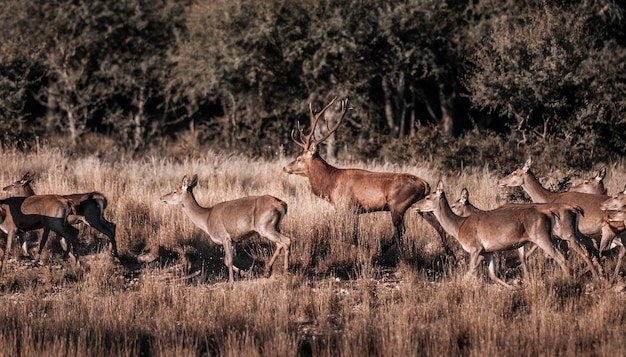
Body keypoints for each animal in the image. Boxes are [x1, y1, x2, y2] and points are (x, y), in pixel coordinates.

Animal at [157, 174, 292, 282]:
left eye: (175, 191)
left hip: (265, 227)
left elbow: (229, 260)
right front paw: (246, 274)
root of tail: (282, 204)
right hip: (275, 226)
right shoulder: (232, 240)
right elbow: (226, 261)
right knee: (280, 243)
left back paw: (286, 272)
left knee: (286, 241)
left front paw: (231, 283)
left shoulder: (224, 236)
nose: (161, 198)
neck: (206, 218)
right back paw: (267, 272)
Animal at [280, 97, 450, 258]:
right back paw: (449, 254)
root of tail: (425, 183)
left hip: (397, 205)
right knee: (438, 226)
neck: (331, 185)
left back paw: (388, 253)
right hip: (421, 205)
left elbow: (351, 234)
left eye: (299, 158)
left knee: (401, 232)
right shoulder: (355, 210)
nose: (285, 168)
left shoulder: (347, 206)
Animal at [412, 181, 568, 286]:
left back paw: (568, 279)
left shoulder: (474, 247)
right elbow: (493, 275)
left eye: (427, 197)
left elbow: (470, 270)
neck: (458, 226)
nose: (414, 206)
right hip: (552, 237)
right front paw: (513, 287)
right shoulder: (488, 251)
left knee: (560, 258)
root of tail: (550, 213)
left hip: (541, 237)